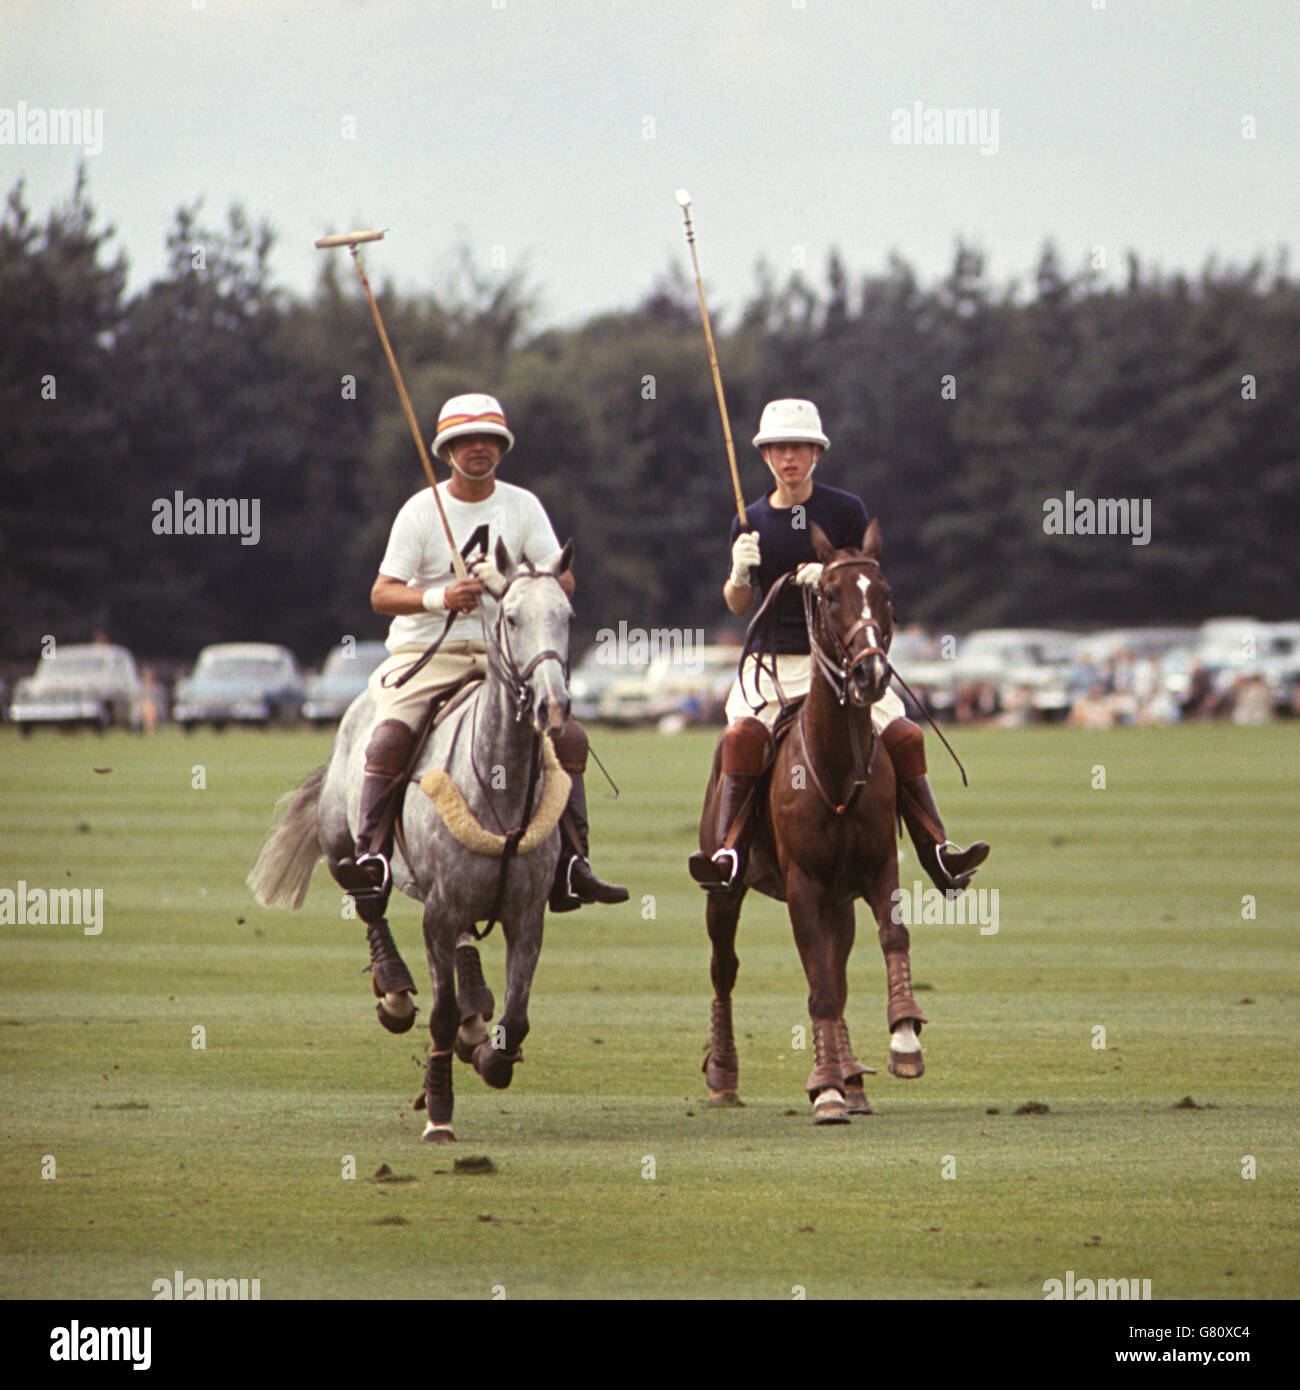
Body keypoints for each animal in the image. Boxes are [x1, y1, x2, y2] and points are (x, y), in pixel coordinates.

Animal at [250, 539, 575, 1139]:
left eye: (566, 616)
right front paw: (439, 1109)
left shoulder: (526, 913)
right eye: (512, 618)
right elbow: (440, 1014)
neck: (499, 780)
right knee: (368, 902)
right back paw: (397, 994)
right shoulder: (439, 911)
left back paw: (474, 1019)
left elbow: (517, 1015)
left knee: (465, 949)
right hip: (345, 846)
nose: (554, 706)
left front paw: (490, 1056)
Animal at [700, 517, 923, 1123]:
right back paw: (724, 1077)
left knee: (838, 966)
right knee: (725, 968)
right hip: (725, 890)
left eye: (885, 594)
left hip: (838, 901)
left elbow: (891, 937)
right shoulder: (802, 884)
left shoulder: (878, 867)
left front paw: (904, 1039)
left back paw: (854, 1079)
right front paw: (824, 1091)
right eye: (828, 594)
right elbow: (818, 987)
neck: (836, 769)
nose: (871, 673)